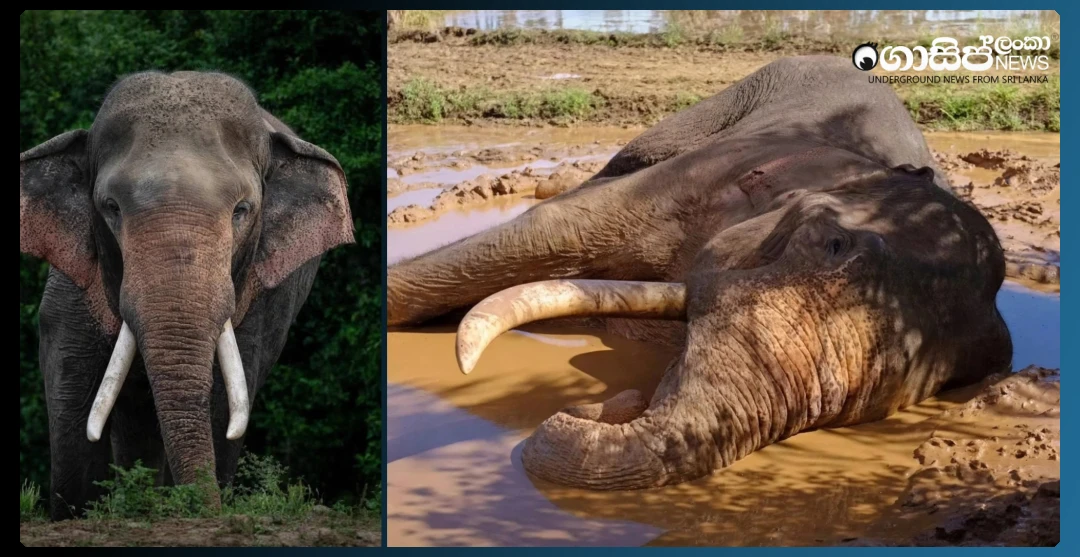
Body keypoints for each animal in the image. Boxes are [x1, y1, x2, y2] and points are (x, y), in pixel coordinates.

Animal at [20, 71, 354, 519]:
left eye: (242, 210)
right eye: (111, 207)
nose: (204, 508)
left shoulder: (263, 297)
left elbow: (226, 394)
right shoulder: (72, 287)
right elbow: (71, 385)